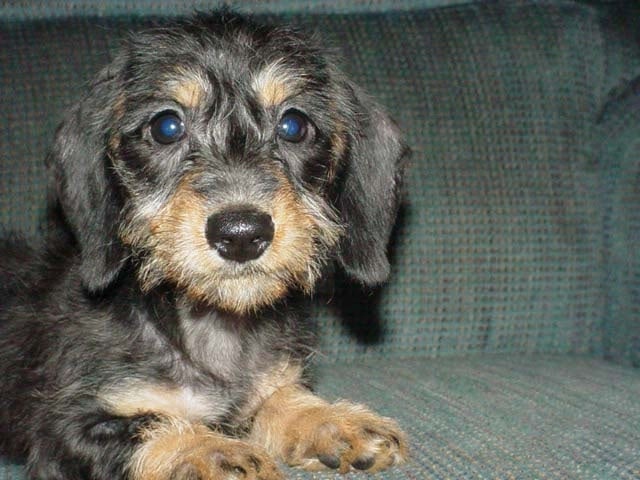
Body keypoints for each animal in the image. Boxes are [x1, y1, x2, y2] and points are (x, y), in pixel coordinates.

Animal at [0, 11, 408, 480]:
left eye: (294, 125)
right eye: (166, 126)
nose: (241, 233)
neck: (212, 324)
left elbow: (279, 398)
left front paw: (330, 420)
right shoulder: (61, 430)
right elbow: (153, 423)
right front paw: (209, 450)